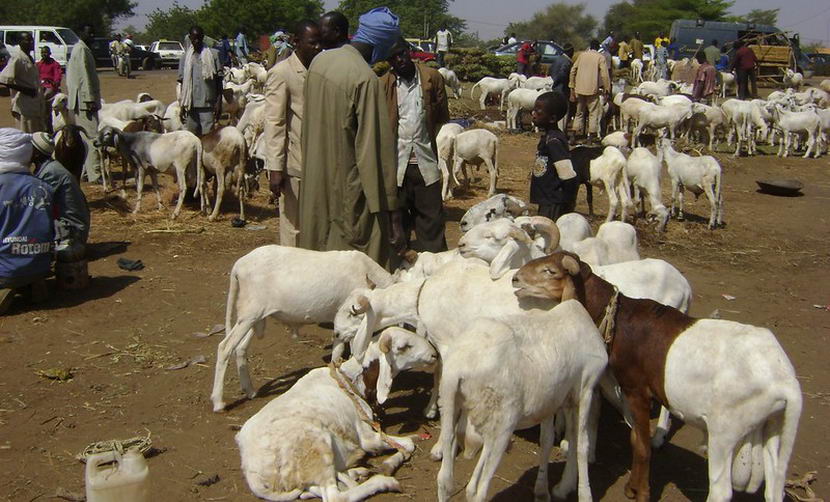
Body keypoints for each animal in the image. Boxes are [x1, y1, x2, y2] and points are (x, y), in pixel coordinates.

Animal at [214, 245, 396, 414]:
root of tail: (239, 265)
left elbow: (337, 350)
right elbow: (352, 352)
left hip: (255, 317)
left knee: (240, 348)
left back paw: (250, 391)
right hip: (250, 314)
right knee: (225, 348)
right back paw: (218, 403)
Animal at [237, 328, 438, 500]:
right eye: (404, 346)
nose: (434, 354)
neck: (351, 381)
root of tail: (252, 472)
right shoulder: (367, 437)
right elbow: (409, 444)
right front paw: (390, 463)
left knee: (312, 489)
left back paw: (355, 472)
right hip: (316, 448)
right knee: (335, 496)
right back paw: (384, 482)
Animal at [436, 302, 612, 502]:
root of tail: (458, 367)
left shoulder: (554, 400)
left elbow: (549, 440)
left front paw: (550, 490)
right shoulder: (585, 388)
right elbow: (582, 444)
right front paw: (583, 494)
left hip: (455, 407)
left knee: (446, 479)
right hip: (504, 423)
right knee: (481, 491)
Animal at [512, 253, 808, 502]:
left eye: (550, 270)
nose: (515, 279)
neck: (621, 320)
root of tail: (786, 383)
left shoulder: (636, 389)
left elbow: (641, 445)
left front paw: (641, 492)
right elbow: (630, 438)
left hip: (725, 431)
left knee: (721, 490)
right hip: (772, 426)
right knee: (774, 487)